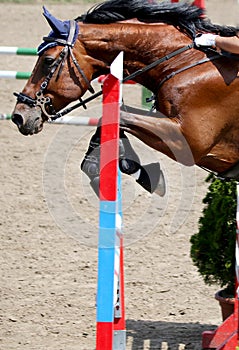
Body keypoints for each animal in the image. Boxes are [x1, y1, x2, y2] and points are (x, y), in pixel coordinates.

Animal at [11, 0, 239, 197]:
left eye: (48, 61)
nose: (18, 116)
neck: (185, 61)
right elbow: (112, 119)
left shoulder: (189, 141)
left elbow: (119, 115)